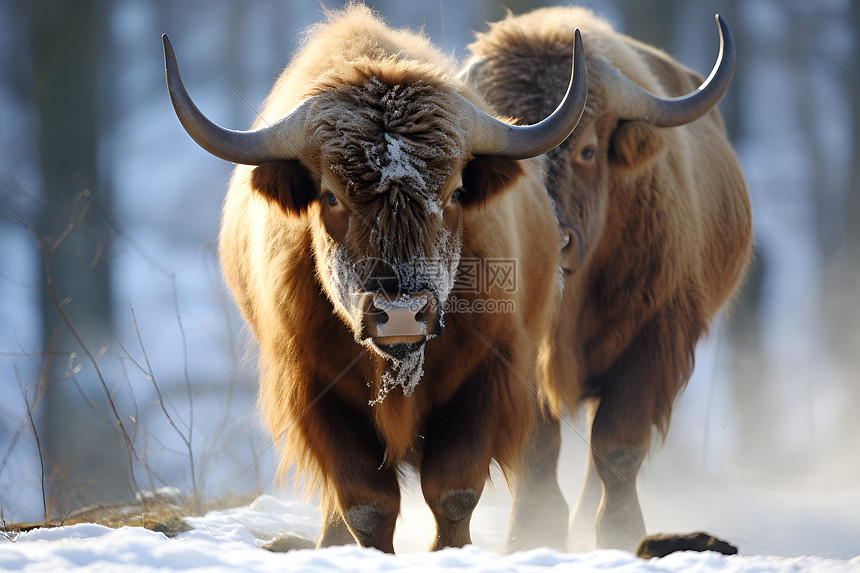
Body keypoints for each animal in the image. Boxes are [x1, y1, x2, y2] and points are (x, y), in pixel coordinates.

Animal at [162, 3, 588, 548]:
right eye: (330, 196)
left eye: (454, 192)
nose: (401, 313)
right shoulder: (312, 391)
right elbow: (365, 503)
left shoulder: (487, 378)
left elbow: (454, 491)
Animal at [460, 5, 748, 548]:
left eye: (589, 151)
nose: (558, 243)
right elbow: (537, 447)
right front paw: (532, 533)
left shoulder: (654, 342)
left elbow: (618, 444)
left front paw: (620, 533)